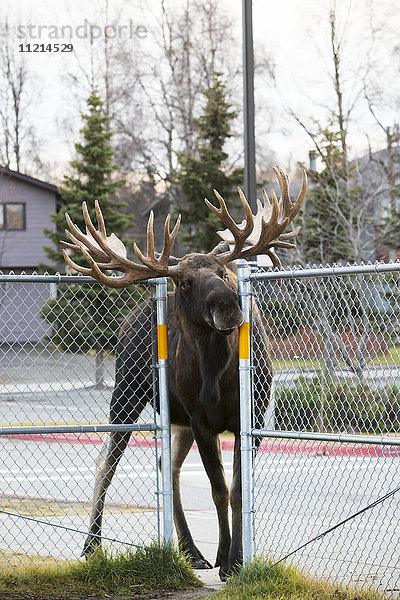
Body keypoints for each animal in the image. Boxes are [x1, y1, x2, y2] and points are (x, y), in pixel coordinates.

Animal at [62, 166, 306, 580]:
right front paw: (228, 559)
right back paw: (92, 544)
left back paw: (191, 552)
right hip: (128, 392)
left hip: (176, 418)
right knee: (107, 459)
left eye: (224, 272)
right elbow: (219, 489)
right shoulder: (202, 418)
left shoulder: (251, 415)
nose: (228, 306)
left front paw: (235, 559)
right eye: (186, 281)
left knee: (167, 465)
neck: (219, 374)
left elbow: (238, 489)